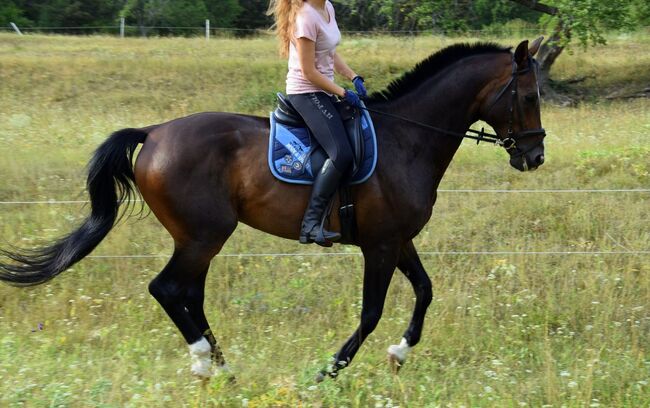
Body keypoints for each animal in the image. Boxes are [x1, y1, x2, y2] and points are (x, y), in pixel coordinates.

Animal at [0, 38, 544, 380]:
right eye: (527, 95)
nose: (535, 156)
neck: (407, 138)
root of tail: (152, 133)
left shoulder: (397, 239)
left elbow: (426, 292)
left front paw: (398, 354)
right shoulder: (381, 245)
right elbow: (370, 312)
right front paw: (328, 370)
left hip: (198, 238)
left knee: (189, 295)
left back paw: (223, 369)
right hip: (204, 235)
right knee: (167, 289)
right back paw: (204, 361)